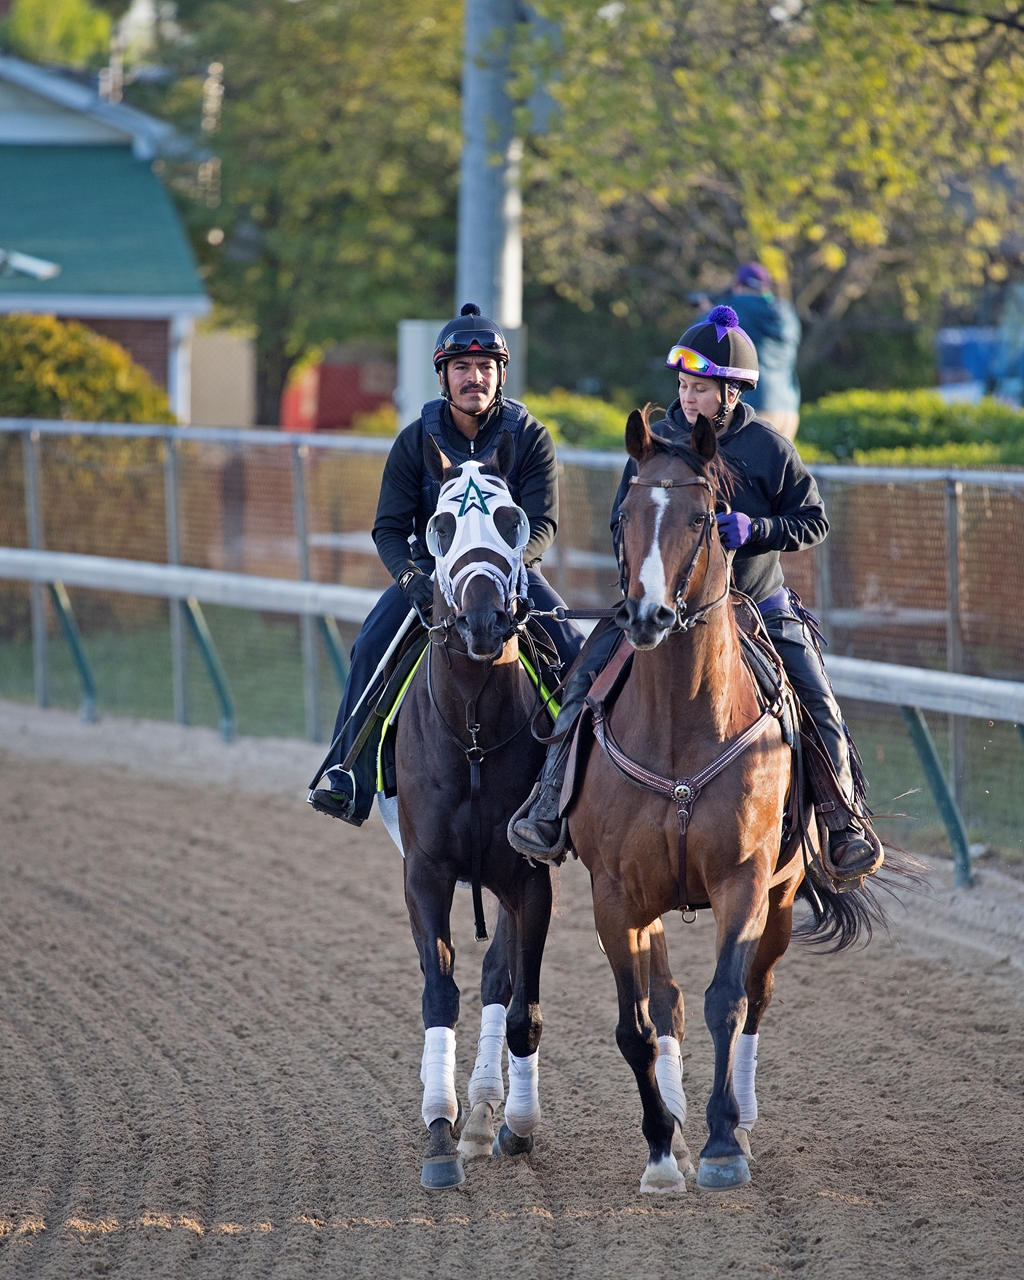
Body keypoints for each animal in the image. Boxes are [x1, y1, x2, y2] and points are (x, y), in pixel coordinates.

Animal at [568, 404, 880, 1192]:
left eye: (704, 516)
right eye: (625, 514)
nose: (647, 616)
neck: (681, 728)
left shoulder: (742, 878)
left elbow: (727, 1001)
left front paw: (720, 1144)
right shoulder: (615, 893)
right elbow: (638, 1024)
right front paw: (660, 1148)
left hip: (783, 893)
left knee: (757, 995)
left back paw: (736, 1114)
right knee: (666, 1002)